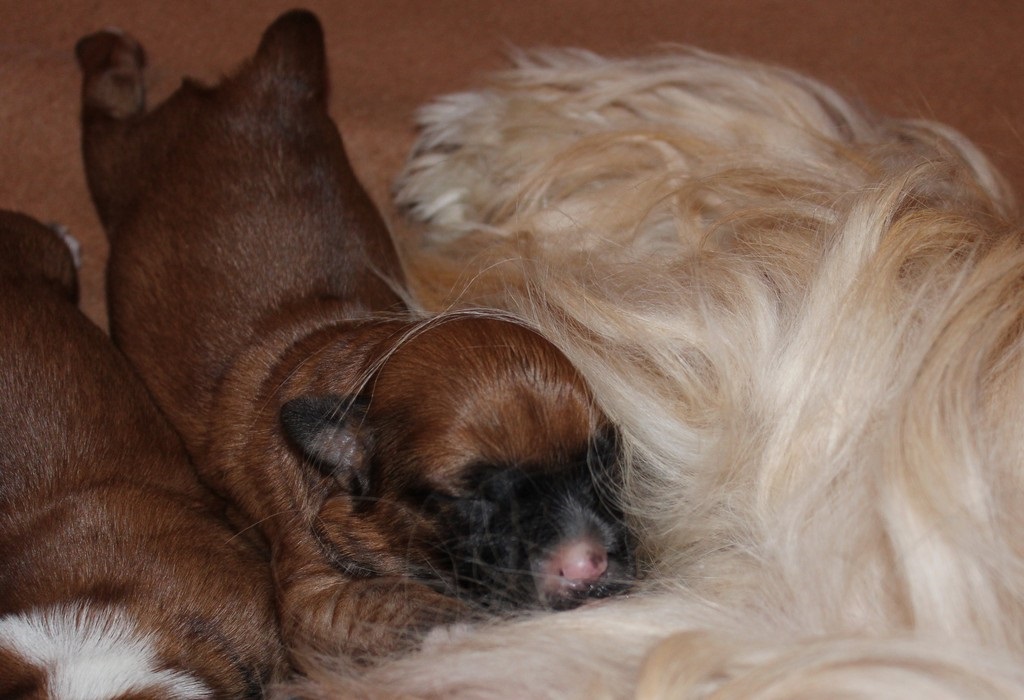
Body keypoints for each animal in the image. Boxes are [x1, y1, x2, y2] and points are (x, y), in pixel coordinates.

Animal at [76, 10, 634, 663]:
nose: (588, 564)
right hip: (122, 162)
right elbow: (395, 602)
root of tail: (269, 85)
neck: (357, 356)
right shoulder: (312, 596)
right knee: (106, 110)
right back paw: (109, 49)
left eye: (605, 462)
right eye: (468, 500)